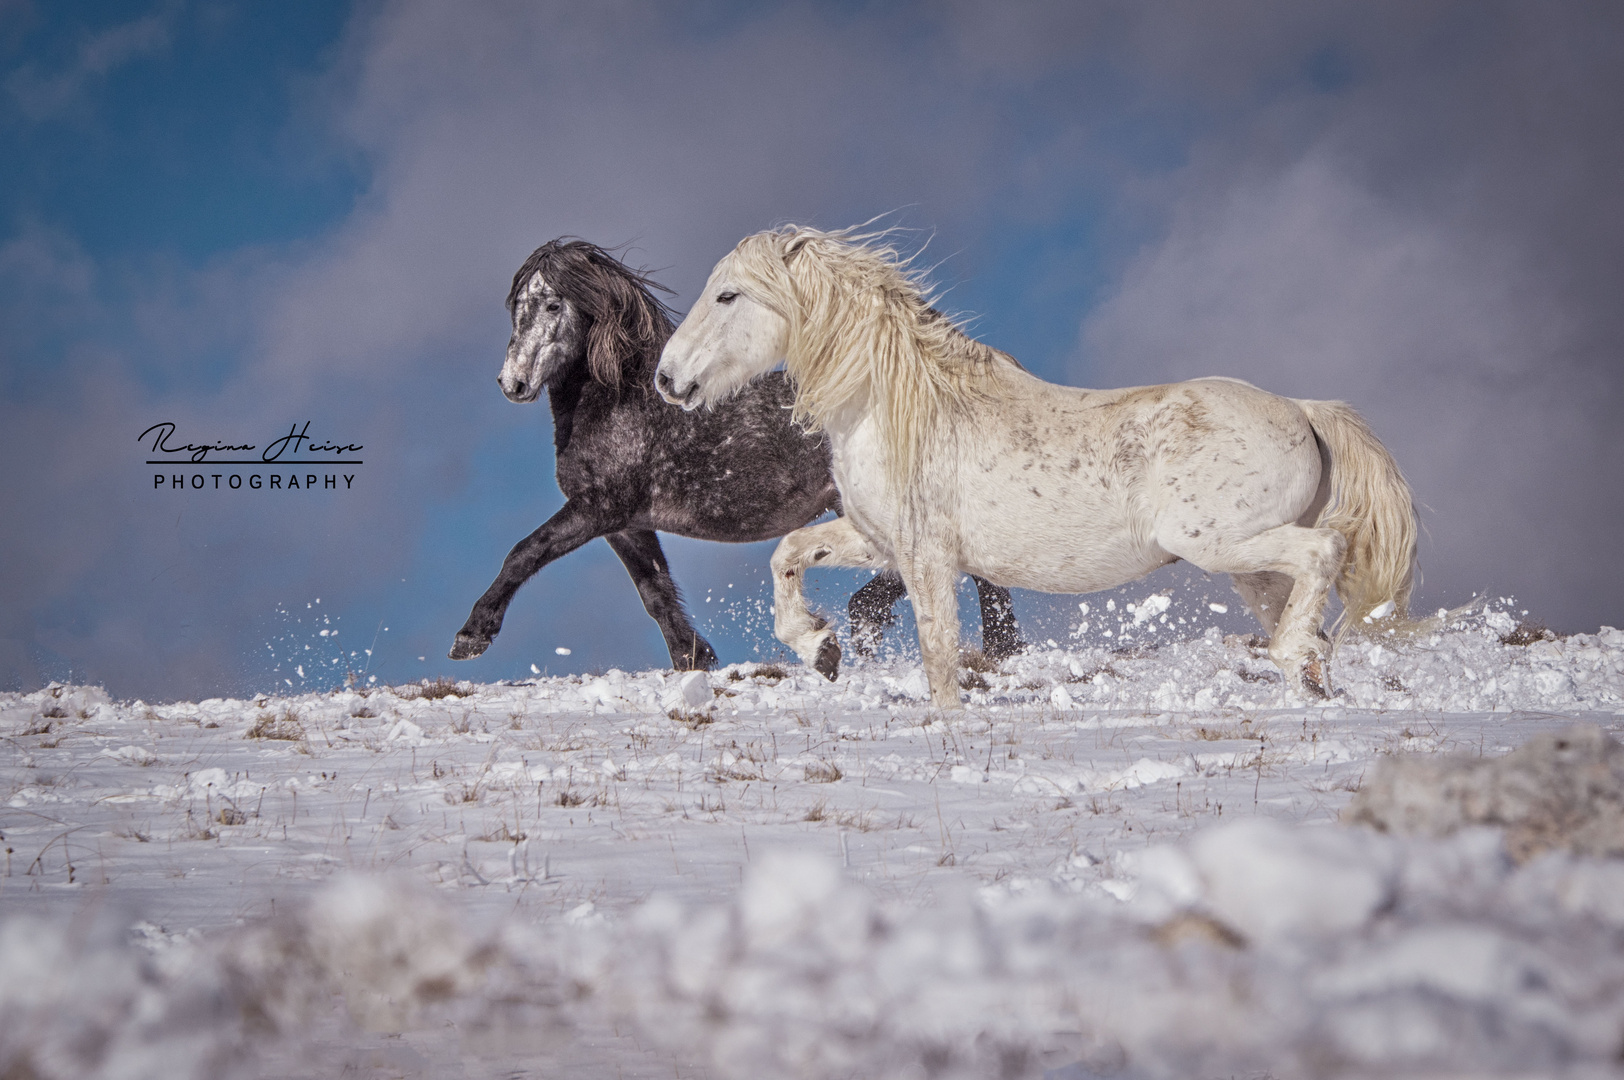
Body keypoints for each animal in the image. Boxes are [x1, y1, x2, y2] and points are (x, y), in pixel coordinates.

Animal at [451, 240, 1019, 669]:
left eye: (553, 306)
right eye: (517, 308)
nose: (512, 383)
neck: (623, 405)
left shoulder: (598, 508)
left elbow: (525, 552)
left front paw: (472, 636)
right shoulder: (626, 524)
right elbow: (655, 592)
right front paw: (694, 661)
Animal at [652, 225, 1416, 708]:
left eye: (728, 296)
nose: (666, 378)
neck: (898, 406)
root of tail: (1302, 409)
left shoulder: (927, 557)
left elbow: (939, 656)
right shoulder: (880, 543)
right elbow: (788, 554)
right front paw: (819, 649)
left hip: (1222, 544)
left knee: (1324, 552)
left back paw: (1294, 661)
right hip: (1248, 568)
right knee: (1310, 615)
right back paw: (1311, 681)